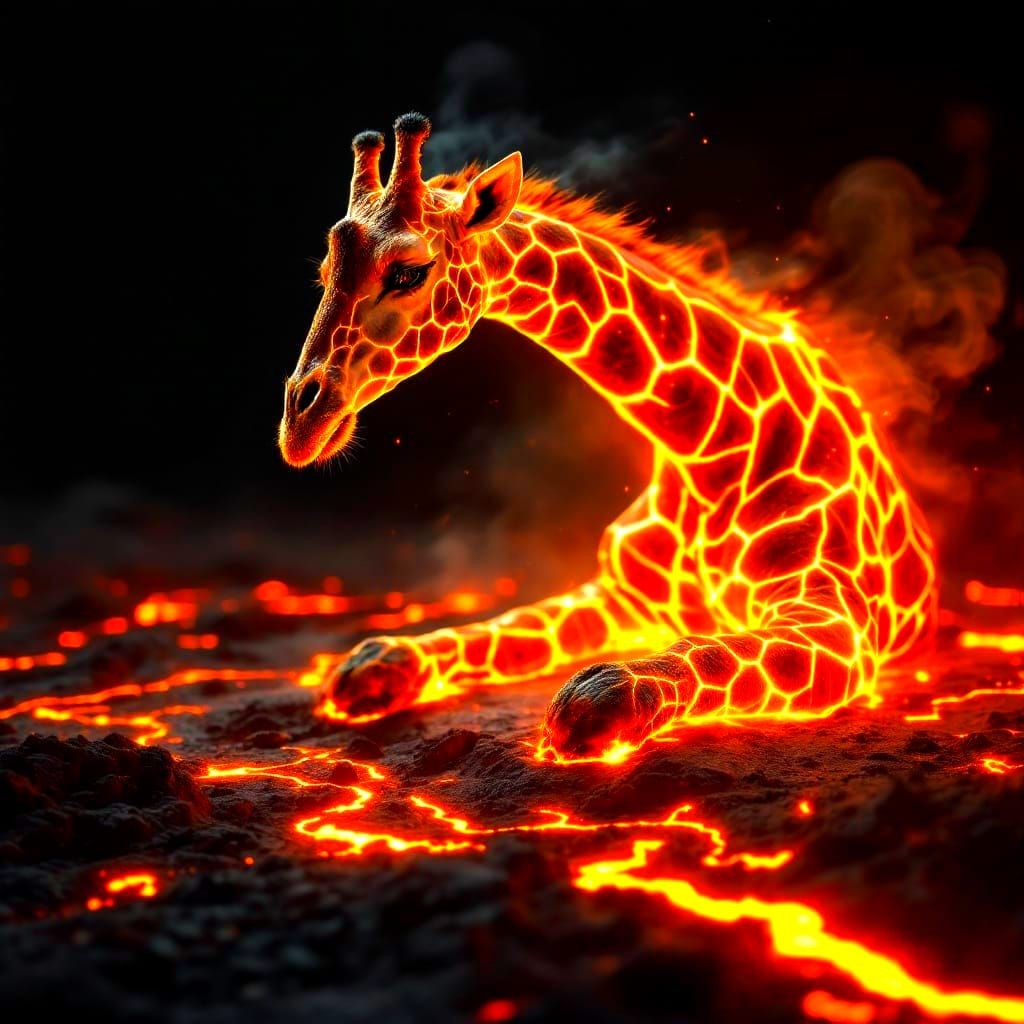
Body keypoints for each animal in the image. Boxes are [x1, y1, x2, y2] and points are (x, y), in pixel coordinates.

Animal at [279, 113, 936, 761]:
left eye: (409, 272)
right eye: (323, 274)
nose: (299, 424)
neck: (704, 445)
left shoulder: (840, 619)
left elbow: (694, 658)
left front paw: (597, 700)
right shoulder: (617, 594)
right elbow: (500, 629)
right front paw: (372, 665)